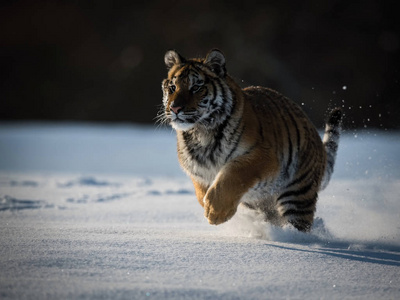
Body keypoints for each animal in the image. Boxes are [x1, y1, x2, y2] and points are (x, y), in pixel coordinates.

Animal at [159, 49, 340, 232]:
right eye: (173, 87)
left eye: (196, 87)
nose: (174, 108)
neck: (200, 132)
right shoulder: (198, 172)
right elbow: (201, 193)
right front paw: (211, 207)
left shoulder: (262, 155)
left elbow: (232, 174)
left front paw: (216, 212)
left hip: (298, 193)